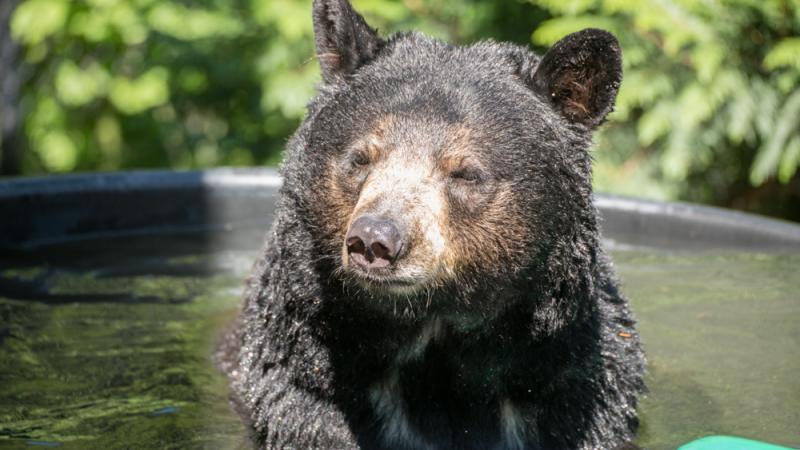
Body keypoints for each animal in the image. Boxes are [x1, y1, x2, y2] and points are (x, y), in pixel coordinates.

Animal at [219, 0, 644, 448]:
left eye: (465, 173)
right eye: (361, 158)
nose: (373, 240)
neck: (435, 342)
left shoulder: (576, 388)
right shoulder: (306, 383)